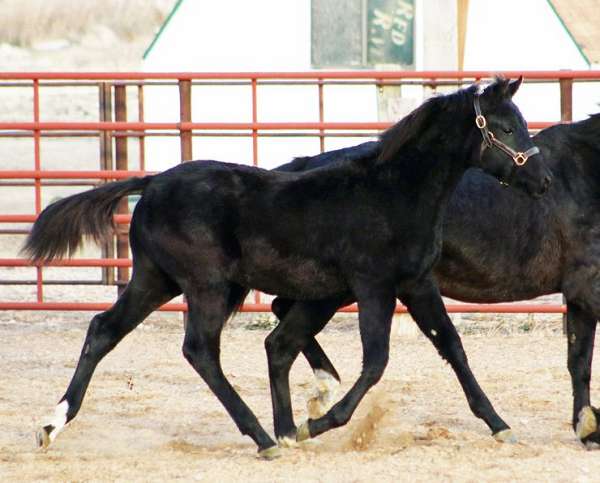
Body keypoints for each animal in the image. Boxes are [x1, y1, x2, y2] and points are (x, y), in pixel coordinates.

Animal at [23, 78, 552, 458]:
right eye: (505, 128)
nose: (543, 180)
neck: (393, 191)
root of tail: (151, 183)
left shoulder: (416, 284)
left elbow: (453, 347)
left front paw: (500, 426)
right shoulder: (374, 286)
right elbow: (376, 361)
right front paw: (315, 423)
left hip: (157, 280)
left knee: (104, 330)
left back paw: (52, 424)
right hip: (208, 286)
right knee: (201, 351)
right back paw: (264, 438)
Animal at [272, 111, 600, 448]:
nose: (543, 182)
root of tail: (303, 167)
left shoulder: (577, 294)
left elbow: (578, 361)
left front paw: (587, 428)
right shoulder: (585, 285)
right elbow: (582, 361)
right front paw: (590, 428)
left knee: (281, 311)